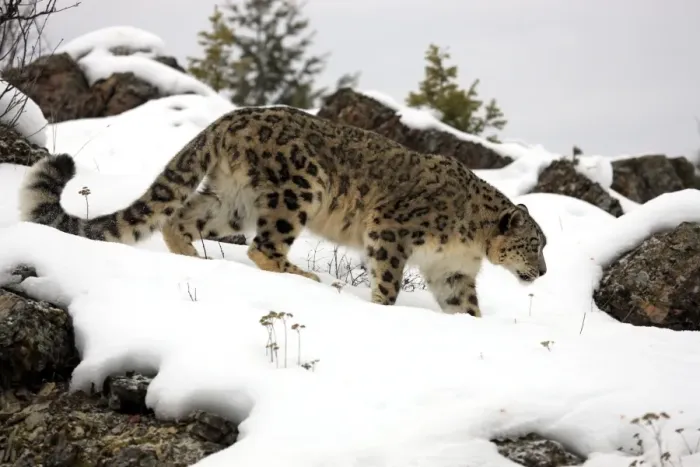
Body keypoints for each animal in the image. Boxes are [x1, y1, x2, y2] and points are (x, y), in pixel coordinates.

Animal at [18, 105, 548, 317]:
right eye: (534, 244)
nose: (542, 272)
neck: (470, 242)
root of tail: (229, 118)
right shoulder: (391, 231)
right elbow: (389, 281)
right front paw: (381, 308)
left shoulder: (452, 271)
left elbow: (465, 306)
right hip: (297, 190)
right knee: (263, 248)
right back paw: (307, 278)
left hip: (232, 201)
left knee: (180, 217)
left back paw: (193, 259)